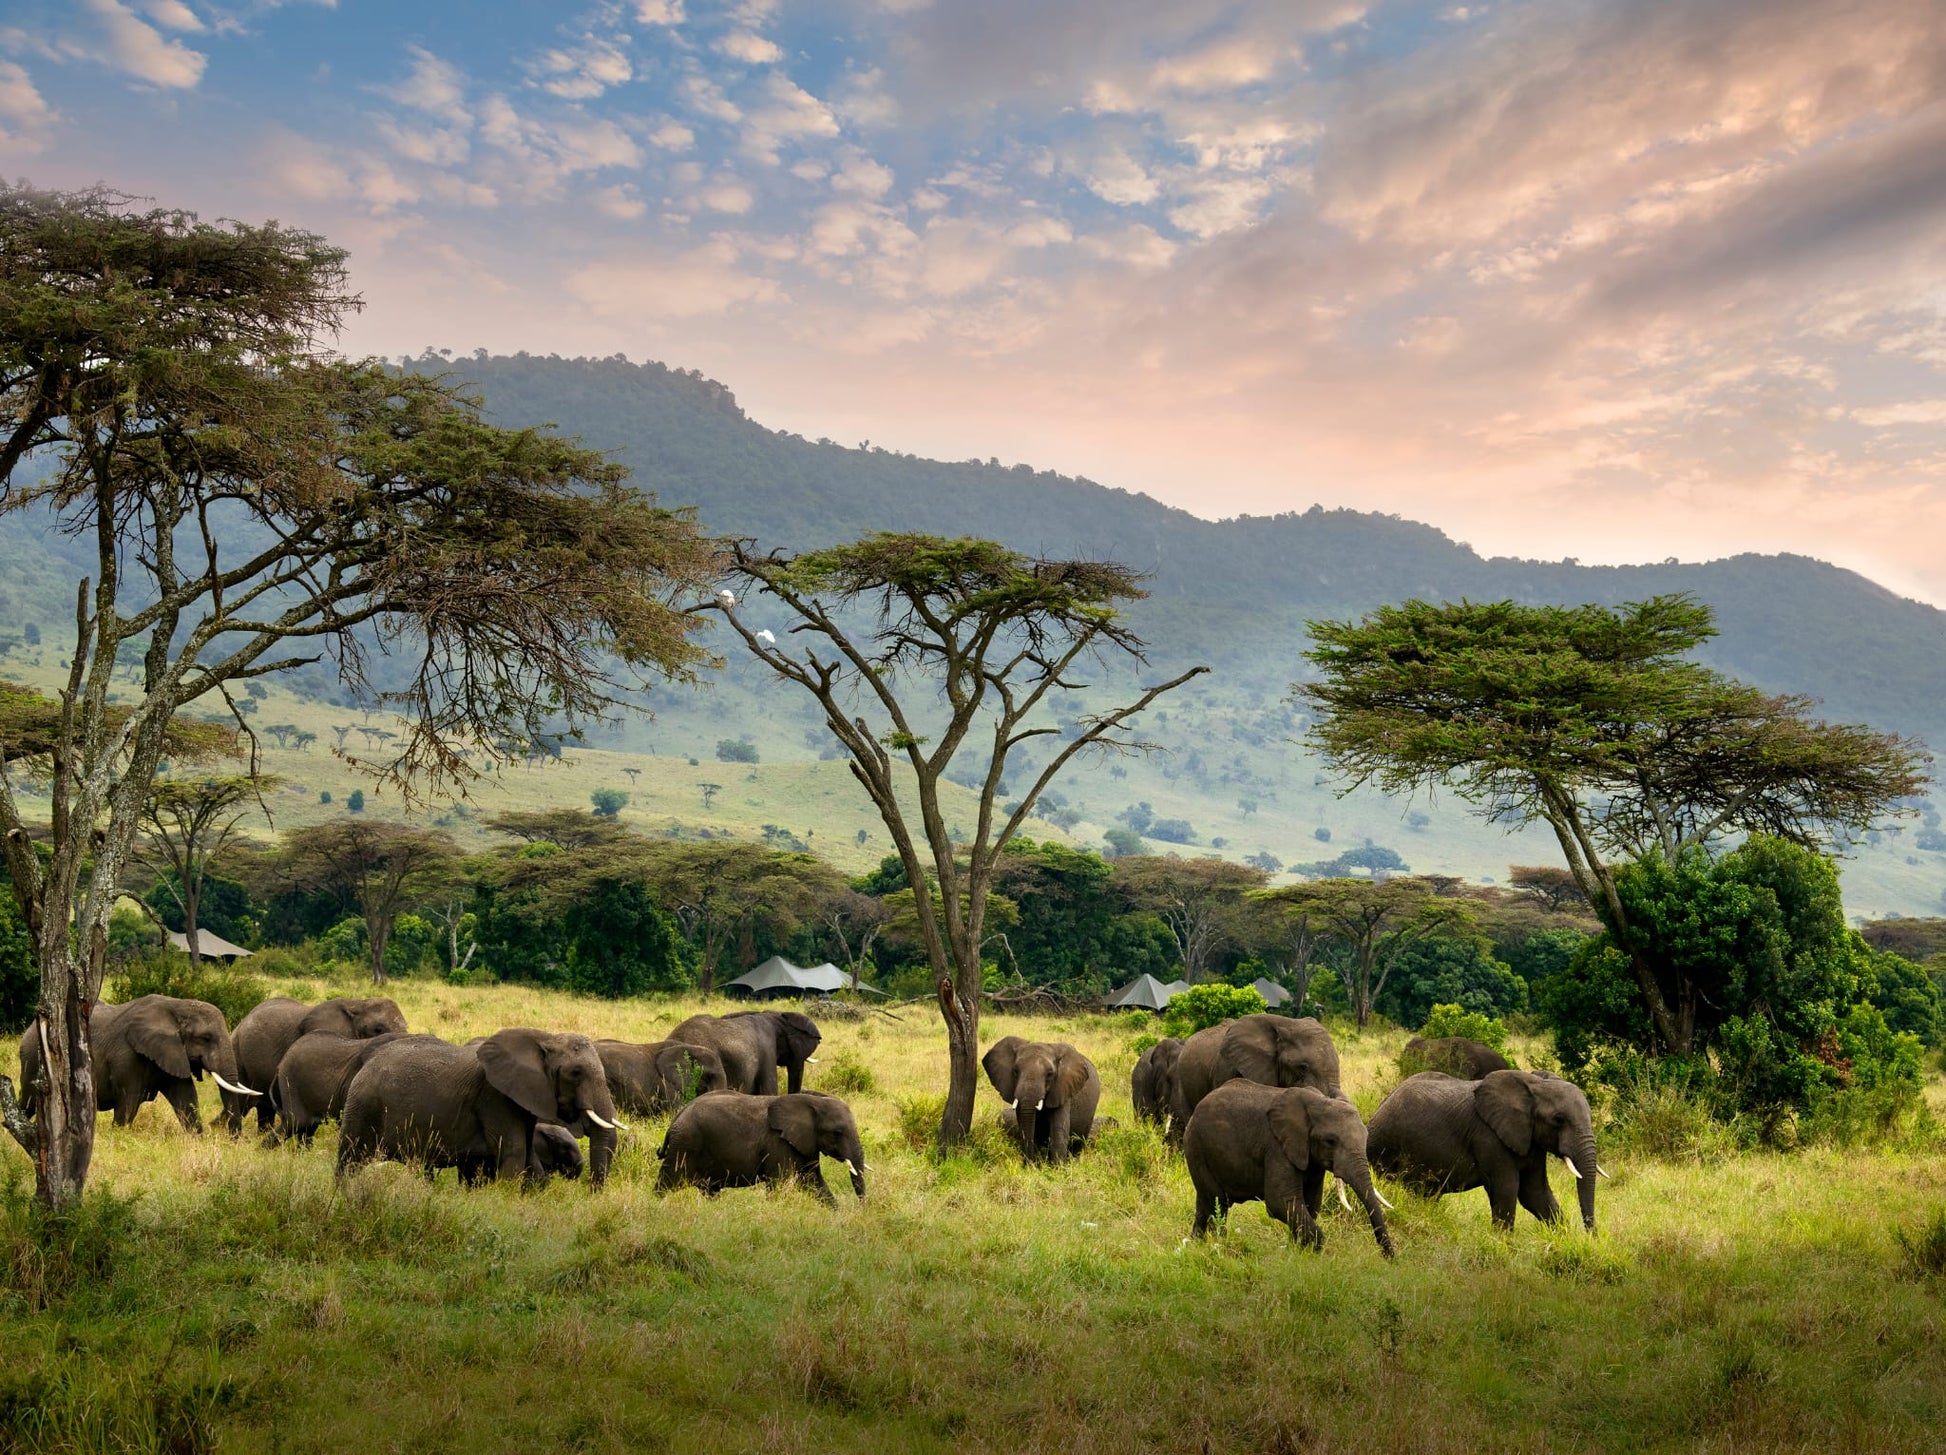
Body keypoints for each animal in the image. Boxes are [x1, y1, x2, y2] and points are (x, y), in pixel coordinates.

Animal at [18, 995, 261, 1134]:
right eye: (206, 1038)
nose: (232, 1138)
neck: (177, 1006)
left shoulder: (171, 1053)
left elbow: (186, 1097)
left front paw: (197, 1137)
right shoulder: (127, 1057)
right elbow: (129, 1101)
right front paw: (119, 1136)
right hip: (33, 1060)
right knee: (28, 1102)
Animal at [337, 1028, 623, 1187]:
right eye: (575, 1073)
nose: (591, 1191)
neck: (545, 1038)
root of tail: (367, 1064)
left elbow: (527, 1154)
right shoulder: (494, 1098)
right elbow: (513, 1152)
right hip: (364, 1105)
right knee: (350, 1159)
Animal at [656, 1090, 866, 1205]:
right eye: (837, 1133)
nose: (863, 1209)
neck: (812, 1100)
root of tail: (678, 1115)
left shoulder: (805, 1144)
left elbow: (814, 1182)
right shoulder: (777, 1144)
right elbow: (780, 1184)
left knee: (709, 1190)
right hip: (684, 1145)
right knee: (667, 1182)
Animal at [1183, 1081, 1395, 1256]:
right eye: (1330, 1141)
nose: (1389, 1258)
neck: (1317, 1102)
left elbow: (1310, 1203)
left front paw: (1298, 1250)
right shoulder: (1277, 1147)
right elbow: (1281, 1202)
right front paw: (1312, 1252)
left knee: (1206, 1203)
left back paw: (1196, 1244)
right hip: (1196, 1147)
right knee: (1216, 1202)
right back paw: (1216, 1244)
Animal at [1368, 1069, 1603, 1232]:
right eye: (1558, 1120)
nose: (1592, 1236)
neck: (1532, 1085)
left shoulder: (1532, 1141)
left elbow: (1535, 1193)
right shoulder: (1488, 1137)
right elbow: (1506, 1189)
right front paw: (1503, 1245)